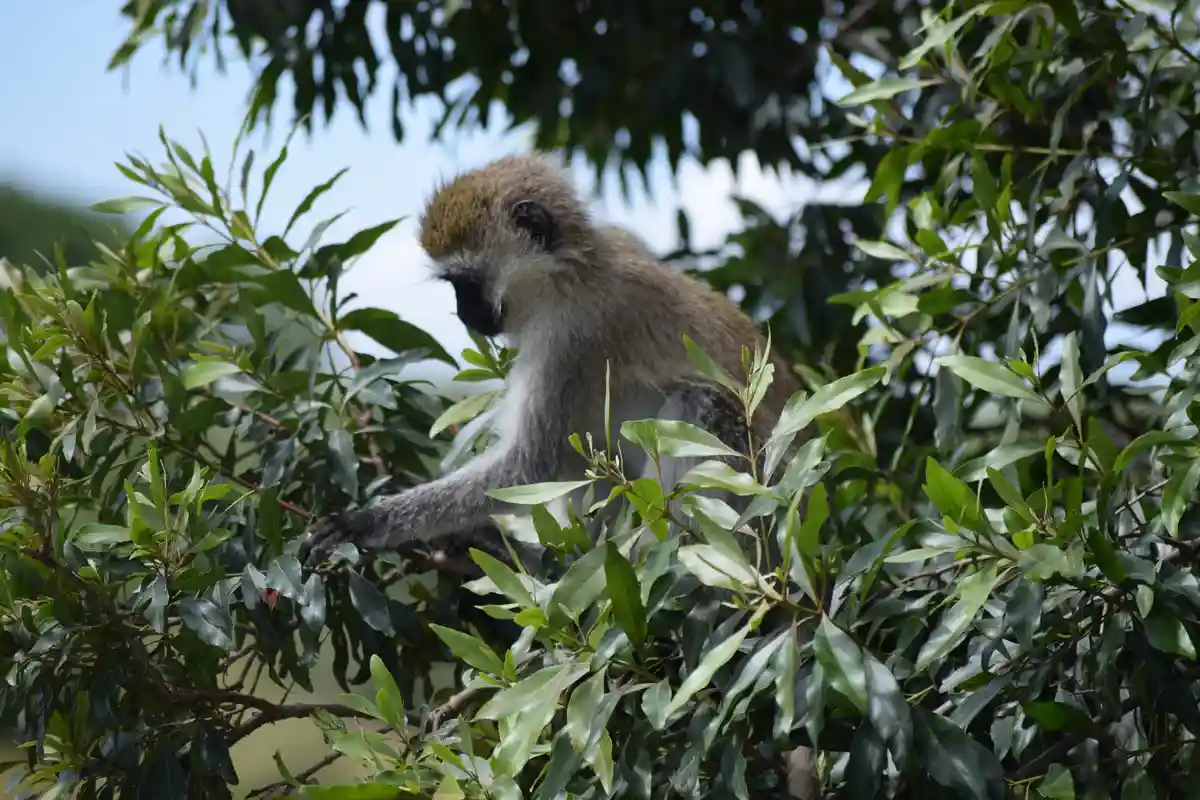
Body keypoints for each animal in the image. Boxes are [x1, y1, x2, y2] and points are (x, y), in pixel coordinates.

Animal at [297, 152, 818, 797]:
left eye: (465, 282)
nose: (464, 317)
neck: (567, 268)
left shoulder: (570, 337)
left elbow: (528, 465)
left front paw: (362, 524)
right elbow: (563, 468)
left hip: (749, 510)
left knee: (694, 406)